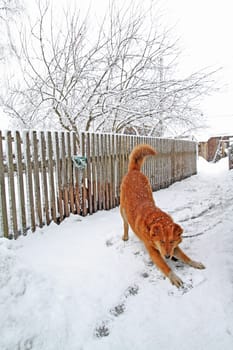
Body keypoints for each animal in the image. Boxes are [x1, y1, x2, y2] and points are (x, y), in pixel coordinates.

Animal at [121, 144, 205, 286]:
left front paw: (194, 262)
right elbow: (165, 267)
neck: (155, 220)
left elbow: (185, 257)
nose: (167, 256)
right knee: (125, 224)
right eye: (161, 241)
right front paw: (174, 277)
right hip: (122, 210)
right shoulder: (153, 251)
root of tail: (134, 171)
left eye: (171, 241)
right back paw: (125, 236)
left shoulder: (173, 247)